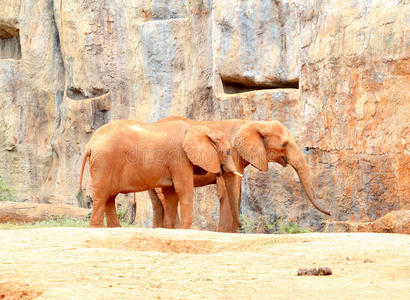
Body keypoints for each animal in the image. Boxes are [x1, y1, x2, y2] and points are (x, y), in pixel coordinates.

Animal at [77, 119, 240, 227]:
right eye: (227, 152)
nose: (240, 226)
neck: (199, 128)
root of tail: (90, 143)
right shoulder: (179, 158)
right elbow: (184, 190)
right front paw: (185, 230)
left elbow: (171, 194)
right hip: (104, 162)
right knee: (102, 196)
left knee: (109, 198)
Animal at [143, 116, 332, 232]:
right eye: (284, 144)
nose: (330, 214)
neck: (253, 122)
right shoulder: (231, 153)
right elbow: (227, 192)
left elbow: (236, 193)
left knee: (157, 203)